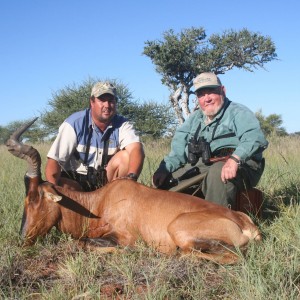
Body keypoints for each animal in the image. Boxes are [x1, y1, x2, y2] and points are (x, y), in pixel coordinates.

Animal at [5, 118, 262, 264]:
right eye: (26, 199)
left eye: (36, 199)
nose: (23, 241)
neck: (101, 201)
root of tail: (245, 223)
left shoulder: (125, 238)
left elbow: (85, 244)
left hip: (181, 231)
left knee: (223, 255)